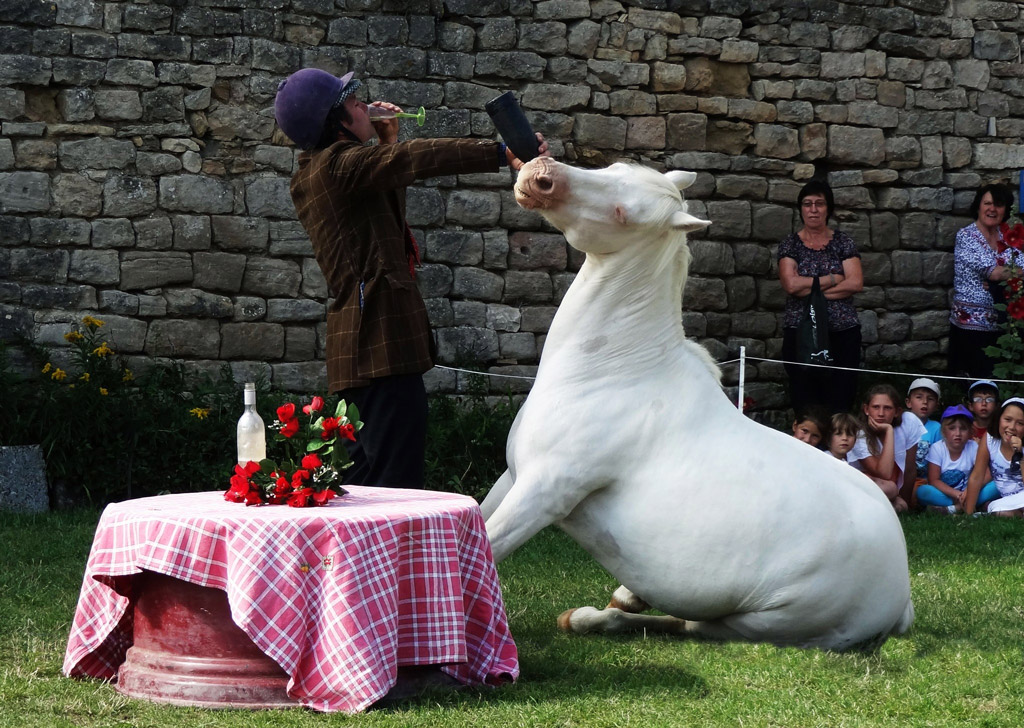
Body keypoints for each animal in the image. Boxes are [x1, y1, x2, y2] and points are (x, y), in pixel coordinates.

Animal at [483, 160, 917, 655]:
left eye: (623, 213)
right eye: (613, 167)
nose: (540, 175)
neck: (612, 373)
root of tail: (901, 596)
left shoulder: (545, 492)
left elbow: (489, 546)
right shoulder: (512, 477)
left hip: (758, 623)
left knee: (685, 625)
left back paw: (592, 616)